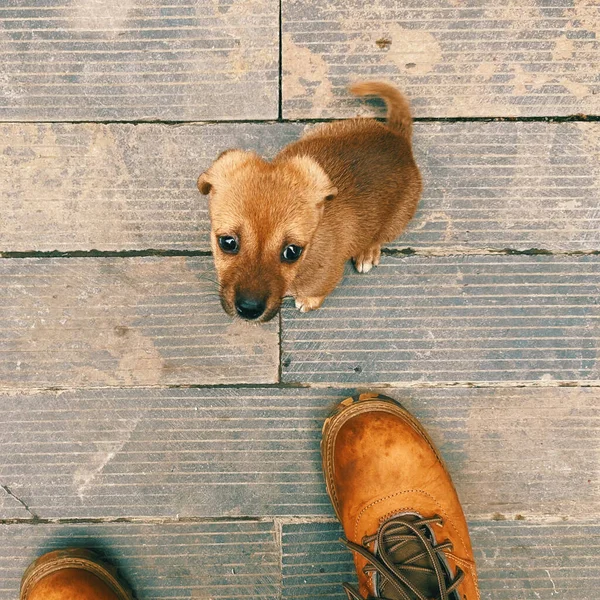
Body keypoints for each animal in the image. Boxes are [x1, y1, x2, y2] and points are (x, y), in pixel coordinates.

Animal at [198, 83, 422, 324]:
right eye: (227, 242)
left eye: (292, 252)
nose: (249, 309)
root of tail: (398, 139)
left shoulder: (325, 279)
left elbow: (316, 293)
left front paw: (308, 301)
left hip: (398, 220)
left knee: (379, 236)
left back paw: (367, 252)